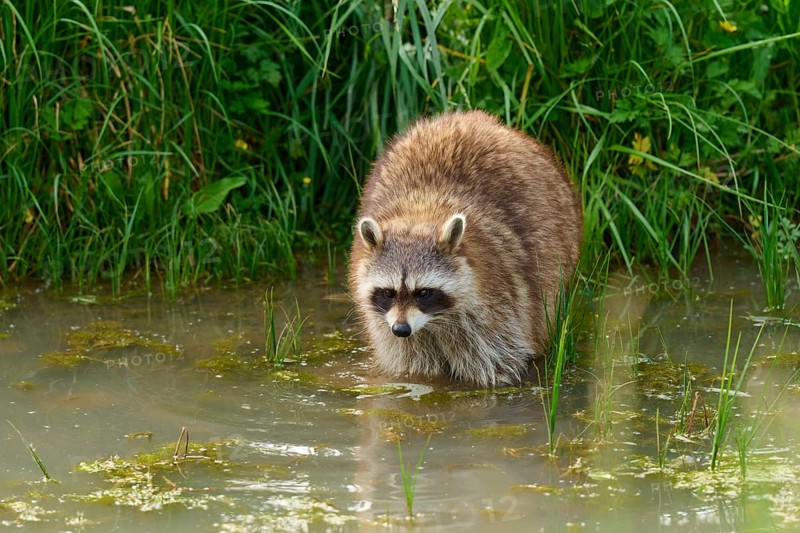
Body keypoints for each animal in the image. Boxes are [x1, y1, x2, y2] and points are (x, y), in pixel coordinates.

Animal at [349, 110, 582, 387]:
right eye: (388, 292)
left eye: (423, 292)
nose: (401, 329)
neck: (420, 212)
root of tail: (470, 117)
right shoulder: (385, 323)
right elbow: (412, 365)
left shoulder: (496, 303)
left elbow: (496, 361)